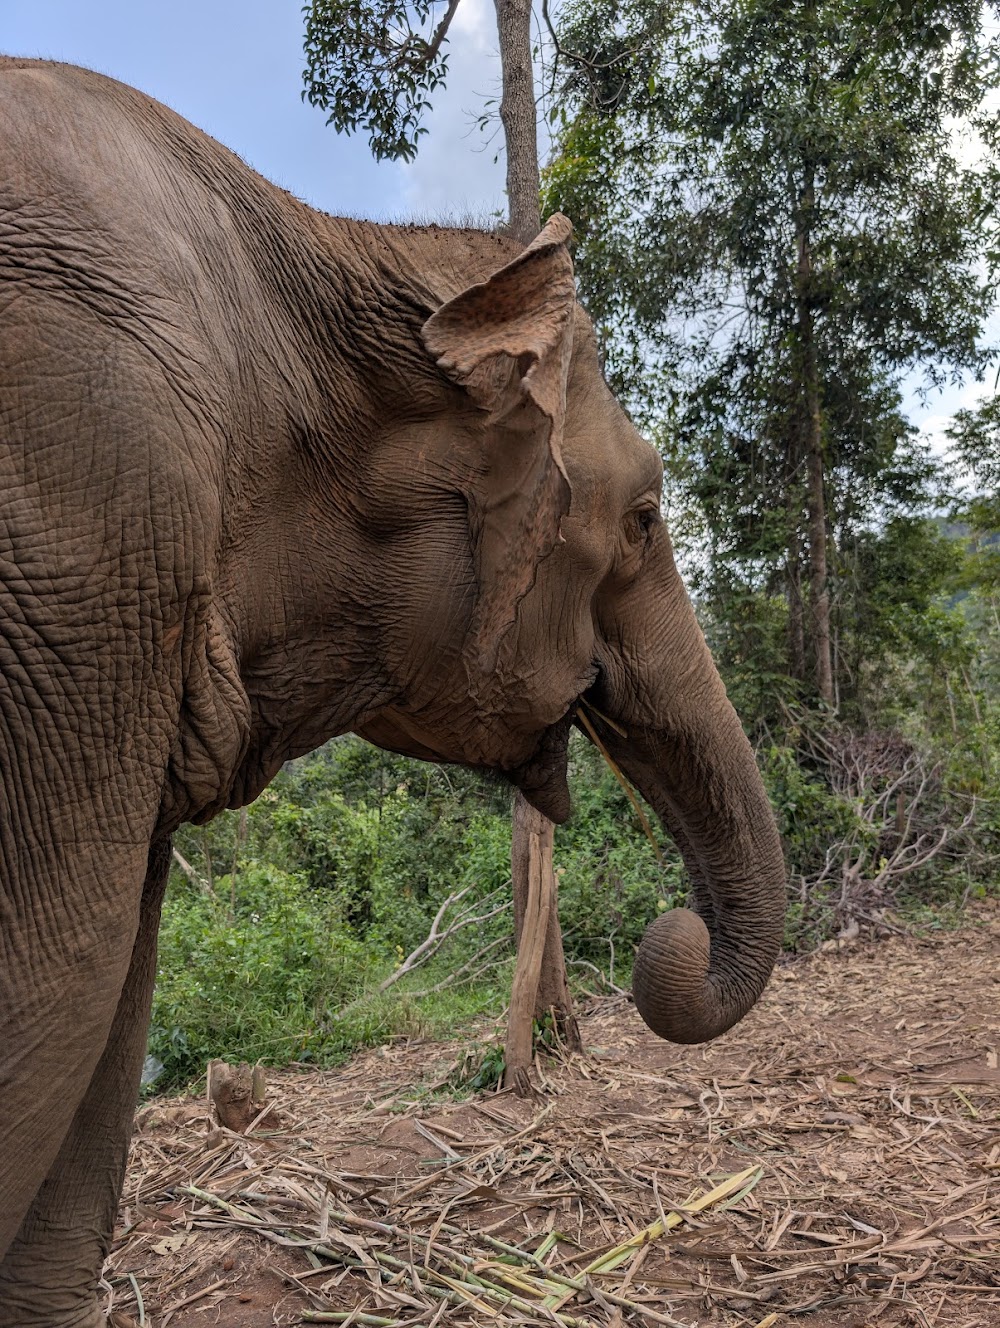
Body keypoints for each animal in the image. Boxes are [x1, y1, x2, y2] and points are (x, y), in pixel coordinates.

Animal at [0, 54, 780, 1328]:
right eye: (643, 518)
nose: (668, 937)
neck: (324, 250)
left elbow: (101, 994)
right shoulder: (83, 534)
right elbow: (52, 978)